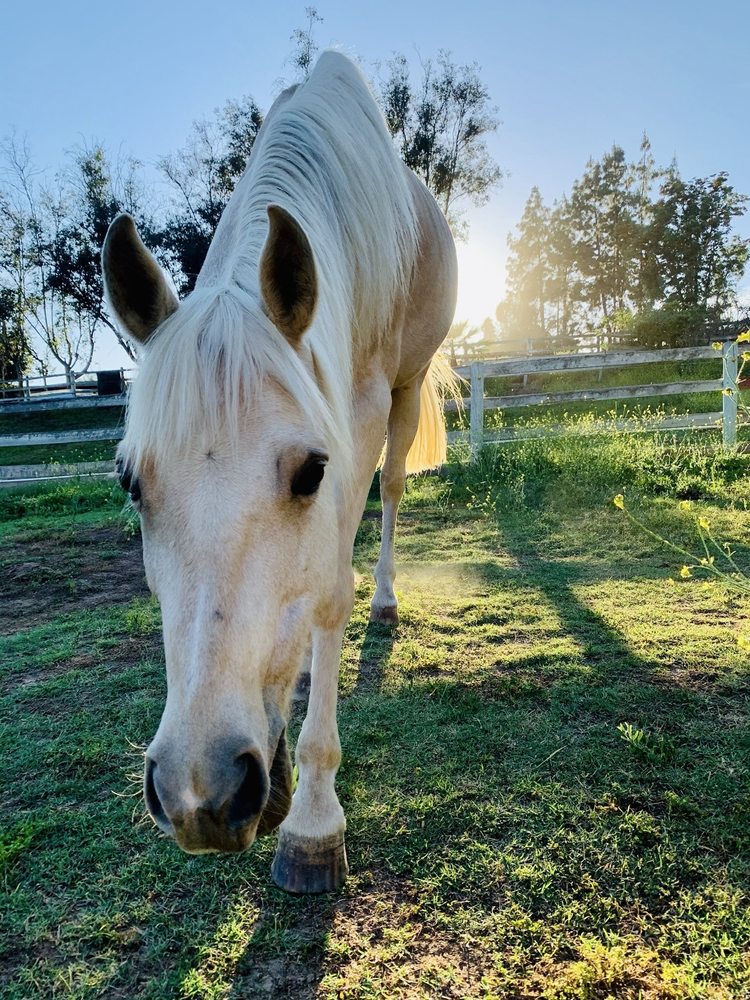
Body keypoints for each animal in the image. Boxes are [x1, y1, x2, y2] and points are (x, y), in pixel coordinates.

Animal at [102, 50, 457, 893]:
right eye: (130, 483)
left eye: (310, 473)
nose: (200, 794)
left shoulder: (359, 417)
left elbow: (329, 595)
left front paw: (314, 821)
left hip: (405, 390)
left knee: (393, 494)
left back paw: (387, 600)